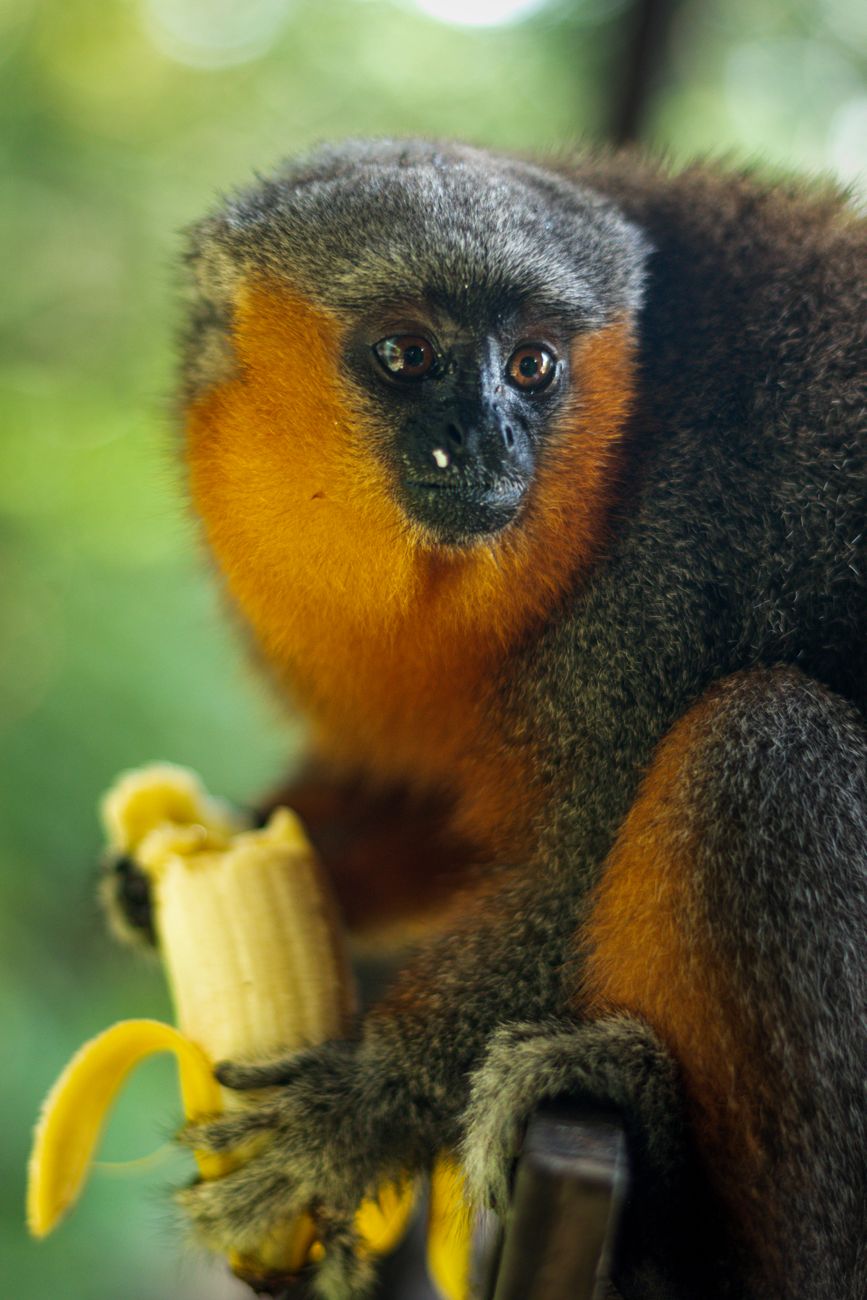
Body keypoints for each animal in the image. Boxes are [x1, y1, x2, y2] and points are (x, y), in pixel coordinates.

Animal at [103, 140, 866, 1299]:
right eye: (408, 354)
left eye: (533, 368)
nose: (486, 436)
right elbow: (438, 804)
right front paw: (190, 862)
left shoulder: (667, 566)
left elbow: (577, 854)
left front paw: (364, 1112)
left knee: (769, 749)